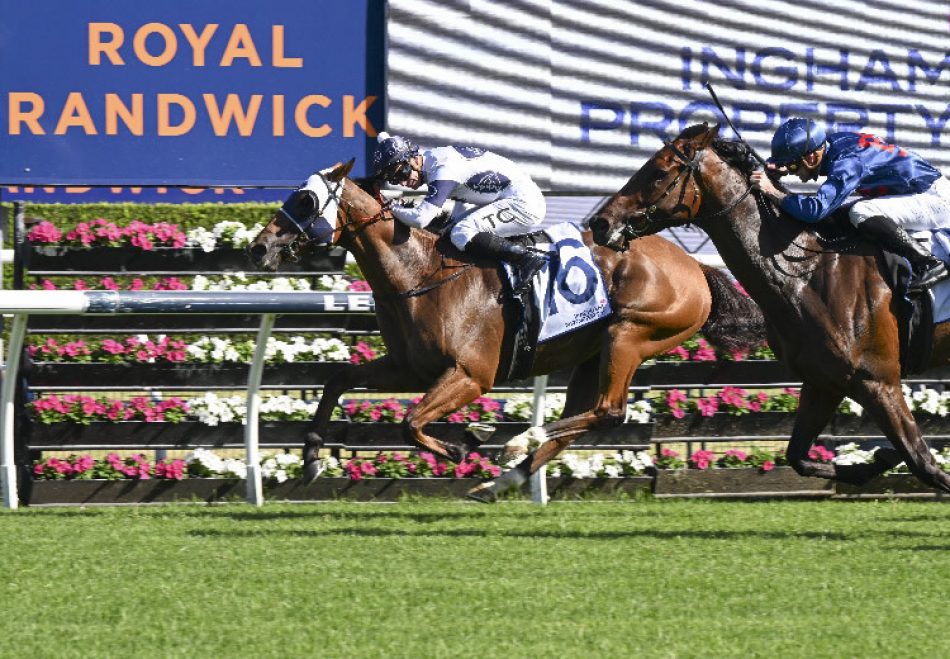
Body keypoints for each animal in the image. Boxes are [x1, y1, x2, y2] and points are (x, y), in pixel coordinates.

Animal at [247, 158, 765, 499]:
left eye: (305, 199)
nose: (258, 248)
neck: (420, 273)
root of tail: (695, 266)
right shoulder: (407, 367)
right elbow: (337, 380)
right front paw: (312, 458)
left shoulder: (471, 375)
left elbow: (410, 421)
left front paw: (463, 445)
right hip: (593, 353)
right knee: (584, 417)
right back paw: (503, 479)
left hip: (630, 336)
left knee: (608, 410)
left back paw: (513, 443)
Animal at [588, 122, 950, 493]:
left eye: (659, 172)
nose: (601, 223)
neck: (807, 271)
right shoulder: (825, 382)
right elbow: (798, 457)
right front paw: (875, 462)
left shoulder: (877, 380)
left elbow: (924, 464)